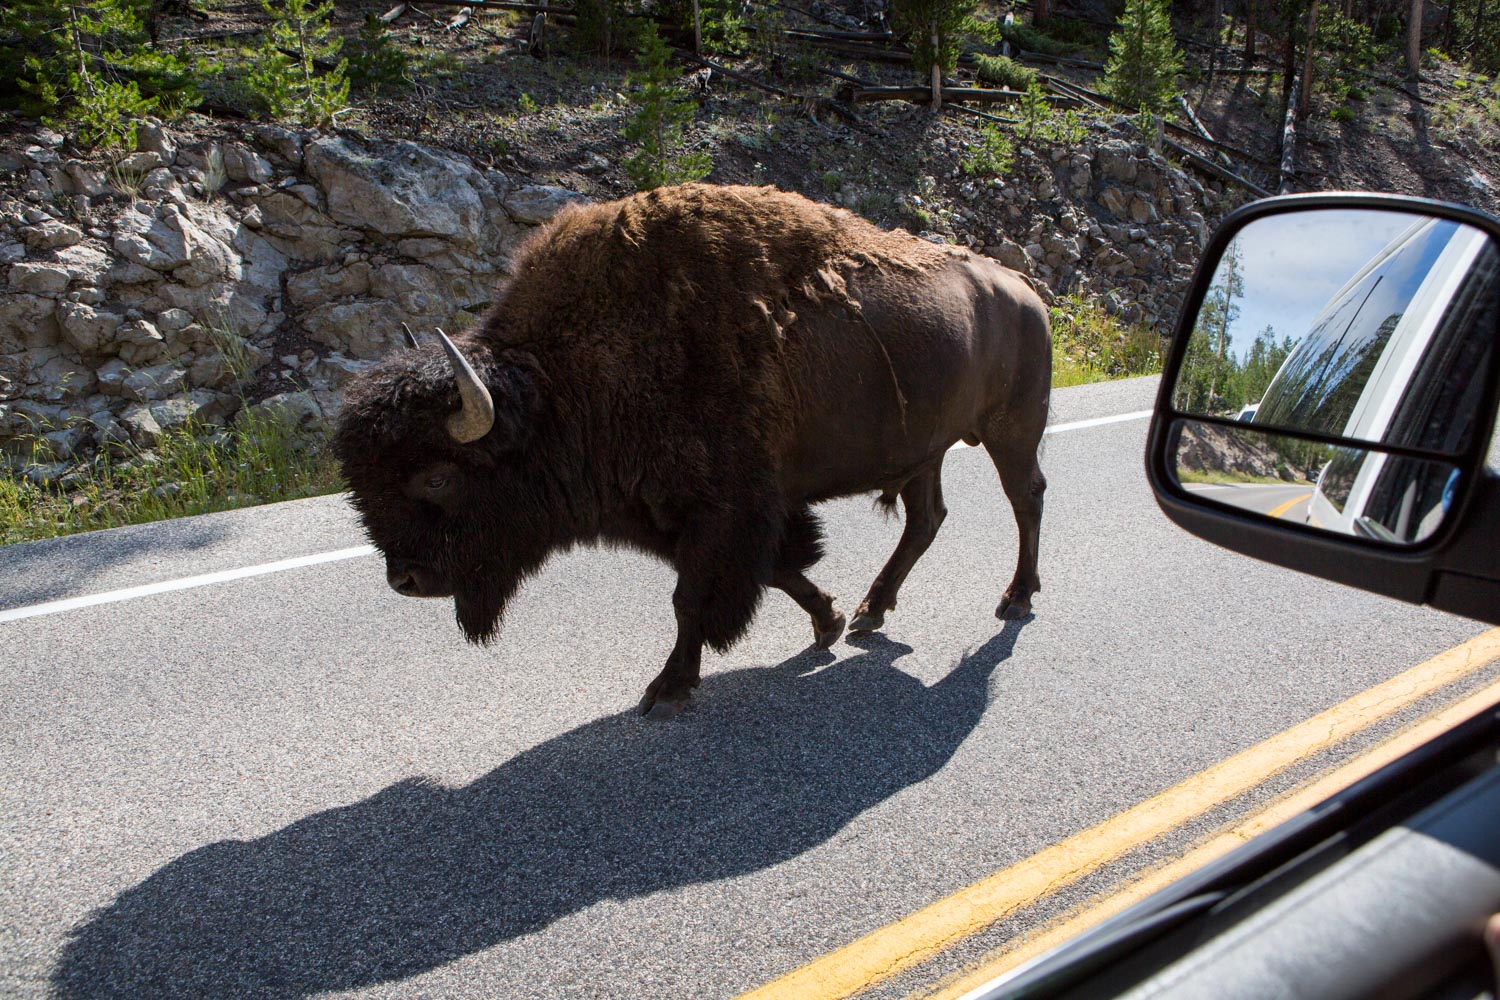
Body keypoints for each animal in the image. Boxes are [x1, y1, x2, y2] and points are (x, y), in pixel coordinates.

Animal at [334, 183, 1050, 719]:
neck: (565, 382)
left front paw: (667, 689)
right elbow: (774, 571)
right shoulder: (691, 514)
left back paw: (1015, 599)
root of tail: (1023, 288)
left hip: (1011, 429)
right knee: (926, 519)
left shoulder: (720, 513)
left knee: (1026, 499)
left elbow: (692, 599)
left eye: (436, 479)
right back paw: (871, 614)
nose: (405, 581)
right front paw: (828, 620)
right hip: (923, 448)